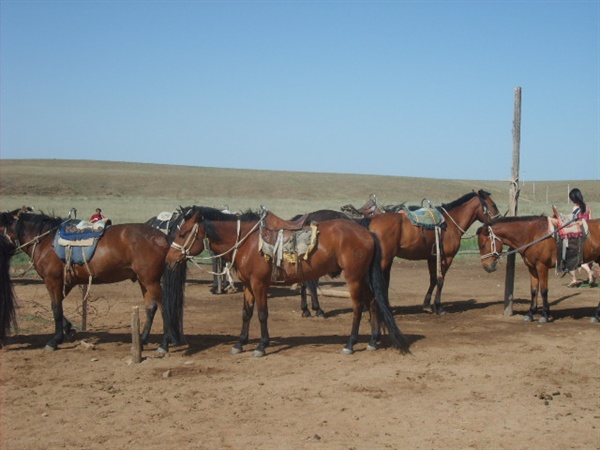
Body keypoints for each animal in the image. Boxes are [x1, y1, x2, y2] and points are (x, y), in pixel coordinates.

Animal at [0, 211, 185, 352]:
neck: (46, 241)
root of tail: (163, 238)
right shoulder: (66, 282)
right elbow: (58, 307)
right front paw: (68, 330)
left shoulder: (53, 281)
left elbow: (56, 309)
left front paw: (54, 340)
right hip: (143, 281)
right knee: (150, 308)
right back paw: (142, 340)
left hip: (150, 281)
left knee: (163, 308)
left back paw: (164, 344)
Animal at [164, 206, 408, 356]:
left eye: (183, 233)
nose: (169, 258)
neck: (247, 242)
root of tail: (368, 233)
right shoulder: (248, 285)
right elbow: (246, 313)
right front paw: (240, 343)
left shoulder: (259, 284)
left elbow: (262, 314)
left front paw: (261, 346)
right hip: (363, 276)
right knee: (373, 302)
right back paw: (373, 341)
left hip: (354, 276)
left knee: (359, 306)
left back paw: (350, 343)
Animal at [366, 189, 502, 312]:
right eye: (493, 205)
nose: (499, 220)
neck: (451, 223)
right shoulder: (447, 258)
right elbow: (440, 280)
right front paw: (439, 306)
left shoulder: (432, 257)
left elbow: (433, 279)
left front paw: (426, 305)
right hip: (384, 259)